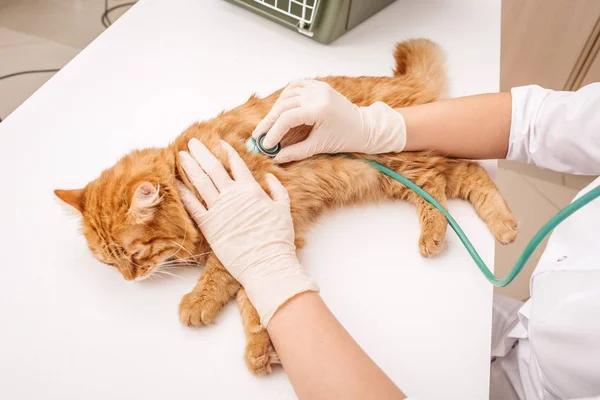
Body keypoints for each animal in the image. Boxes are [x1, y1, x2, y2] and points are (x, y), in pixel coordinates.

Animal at [55, 39, 516, 376]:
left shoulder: (262, 221)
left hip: (401, 160)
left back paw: (457, 233)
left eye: (135, 254)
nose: (129, 280)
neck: (183, 172)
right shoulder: (265, 241)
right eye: (109, 265)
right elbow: (255, 299)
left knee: (447, 183)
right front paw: (263, 347)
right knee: (466, 176)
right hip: (398, 170)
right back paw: (498, 226)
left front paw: (200, 303)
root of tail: (407, 86)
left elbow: (227, 280)